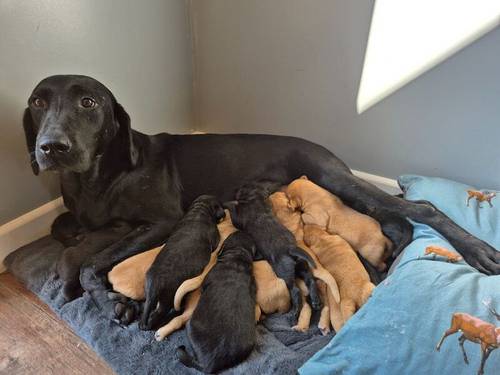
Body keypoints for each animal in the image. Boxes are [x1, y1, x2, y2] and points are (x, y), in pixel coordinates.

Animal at [140, 195, 224, 330]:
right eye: (219, 205)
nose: (224, 213)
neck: (199, 210)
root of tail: (155, 285)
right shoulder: (215, 237)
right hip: (168, 297)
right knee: (159, 312)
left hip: (148, 290)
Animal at [228, 182, 324, 320]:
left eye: (243, 188)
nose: (237, 190)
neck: (254, 198)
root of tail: (291, 248)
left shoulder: (239, 217)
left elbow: (233, 213)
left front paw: (228, 203)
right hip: (302, 266)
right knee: (310, 280)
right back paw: (316, 301)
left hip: (285, 273)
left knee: (295, 290)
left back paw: (294, 312)